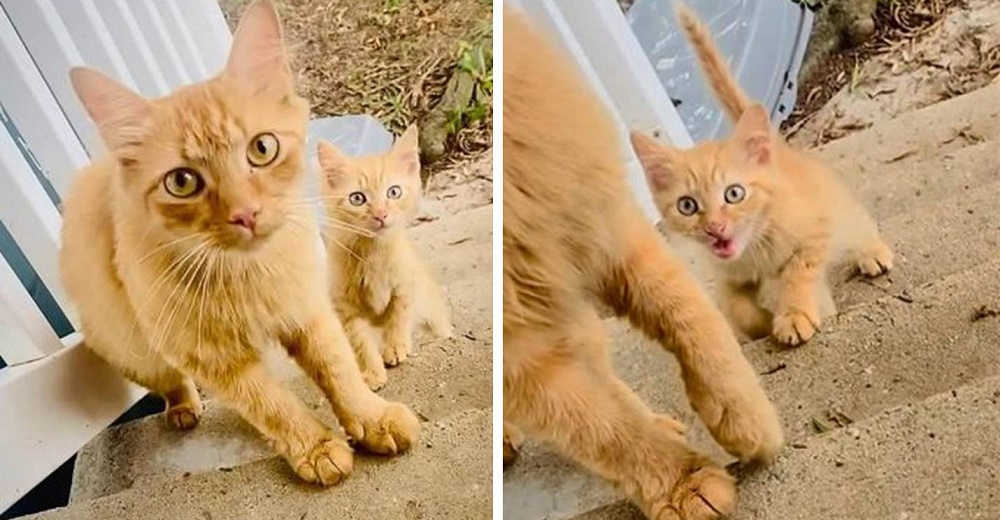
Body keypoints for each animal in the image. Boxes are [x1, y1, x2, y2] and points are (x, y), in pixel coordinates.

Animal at [59, 1, 418, 488]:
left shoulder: (308, 310)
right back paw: (183, 407)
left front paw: (371, 418)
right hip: (135, 350)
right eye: (182, 181)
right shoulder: (215, 360)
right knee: (170, 380)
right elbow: (273, 405)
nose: (244, 213)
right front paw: (316, 447)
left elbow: (339, 371)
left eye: (261, 149)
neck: (247, 274)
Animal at [316, 126, 454, 390]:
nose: (381, 214)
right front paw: (372, 371)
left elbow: (399, 312)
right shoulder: (344, 307)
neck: (374, 253)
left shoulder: (406, 283)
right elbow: (360, 340)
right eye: (357, 198)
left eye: (394, 192)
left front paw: (396, 345)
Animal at [508, 9, 780, 520]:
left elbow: (695, 318)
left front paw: (744, 418)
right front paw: (681, 483)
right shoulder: (524, 356)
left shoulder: (607, 226)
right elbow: (601, 428)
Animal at [628, 5, 896, 346]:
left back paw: (872, 252)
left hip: (836, 206)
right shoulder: (727, 274)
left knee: (855, 223)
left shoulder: (813, 234)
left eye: (734, 193)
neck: (754, 248)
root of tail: (777, 146)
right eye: (687, 205)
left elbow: (798, 272)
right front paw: (763, 323)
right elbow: (735, 306)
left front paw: (794, 314)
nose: (715, 228)